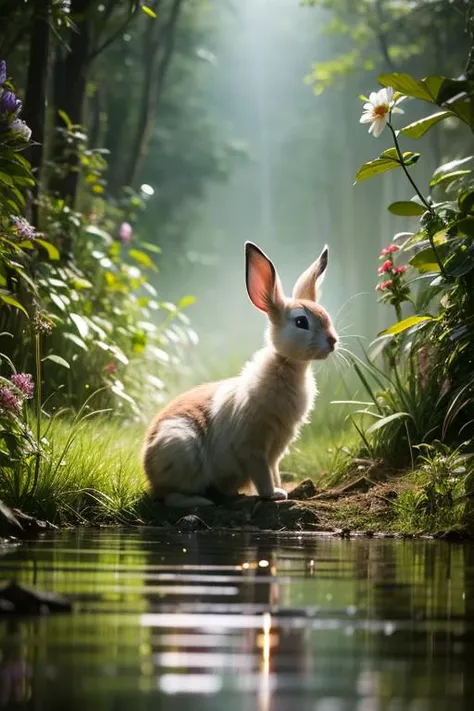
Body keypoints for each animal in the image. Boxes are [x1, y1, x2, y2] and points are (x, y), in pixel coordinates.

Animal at [142, 242, 336, 508]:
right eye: (301, 322)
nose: (333, 341)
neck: (287, 365)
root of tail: (147, 466)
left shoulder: (277, 448)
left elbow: (274, 470)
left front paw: (281, 489)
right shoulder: (252, 446)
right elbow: (262, 475)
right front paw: (274, 494)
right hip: (180, 445)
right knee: (170, 496)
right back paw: (203, 501)